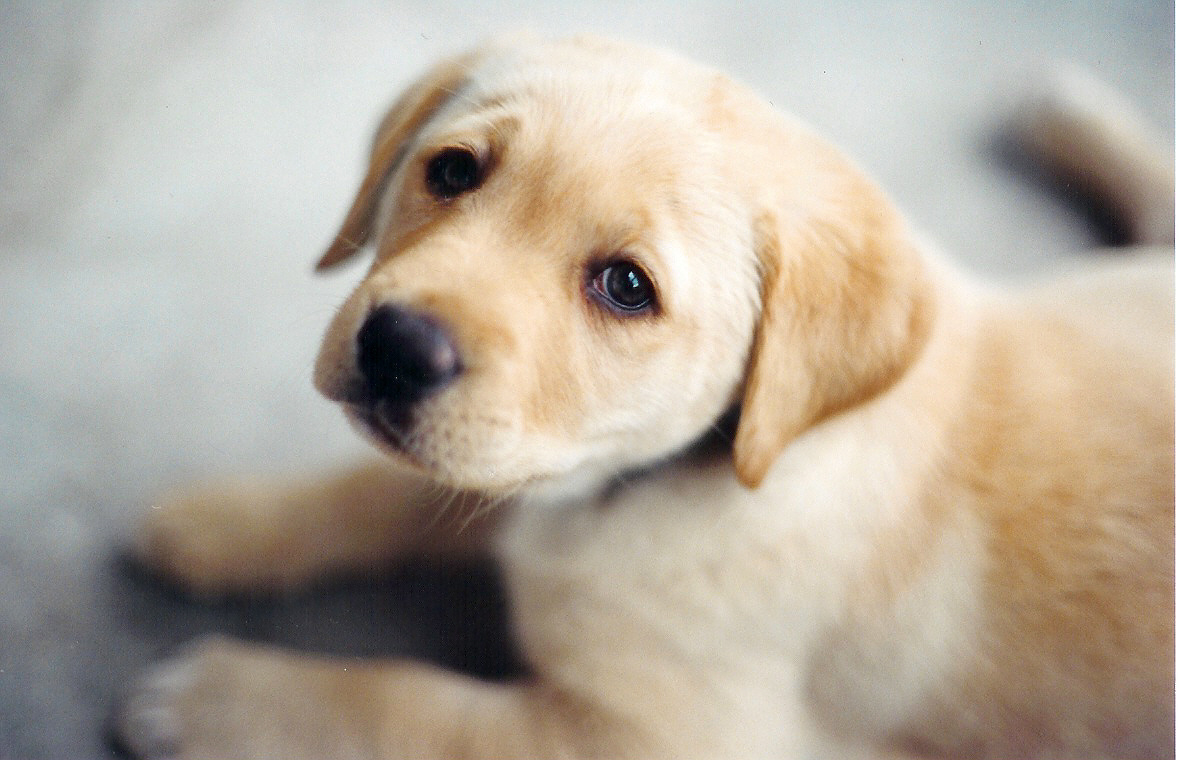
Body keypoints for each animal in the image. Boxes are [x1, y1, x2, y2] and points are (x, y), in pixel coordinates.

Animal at [114, 35, 1174, 758]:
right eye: (452, 169)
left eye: (626, 287)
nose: (396, 349)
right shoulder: (511, 457)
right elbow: (379, 490)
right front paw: (224, 522)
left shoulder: (649, 741)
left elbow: (414, 708)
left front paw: (218, 703)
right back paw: (1070, 113)